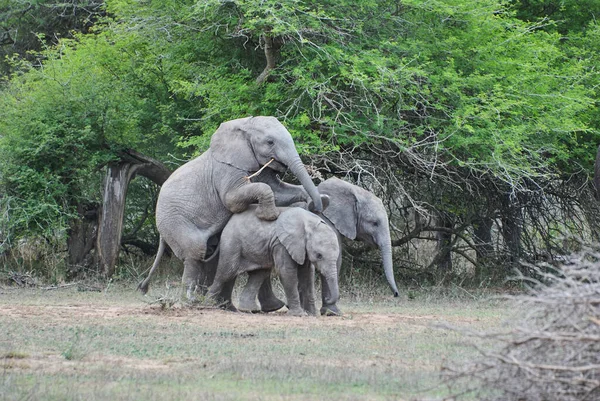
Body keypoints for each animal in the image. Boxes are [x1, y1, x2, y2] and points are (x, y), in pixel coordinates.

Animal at [139, 115, 324, 300]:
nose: (316, 207)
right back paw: (190, 299)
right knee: (195, 253)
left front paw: (319, 199)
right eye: (270, 142)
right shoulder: (226, 169)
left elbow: (277, 190)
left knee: (208, 254)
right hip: (174, 222)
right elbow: (234, 199)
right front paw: (269, 216)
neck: (243, 125)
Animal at [206, 206, 340, 316]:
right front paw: (299, 314)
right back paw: (208, 303)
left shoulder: (302, 248)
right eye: (319, 255)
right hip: (231, 243)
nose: (327, 299)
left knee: (259, 274)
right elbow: (286, 271)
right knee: (226, 273)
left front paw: (311, 314)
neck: (309, 223)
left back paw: (249, 310)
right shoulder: (281, 244)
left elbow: (307, 274)